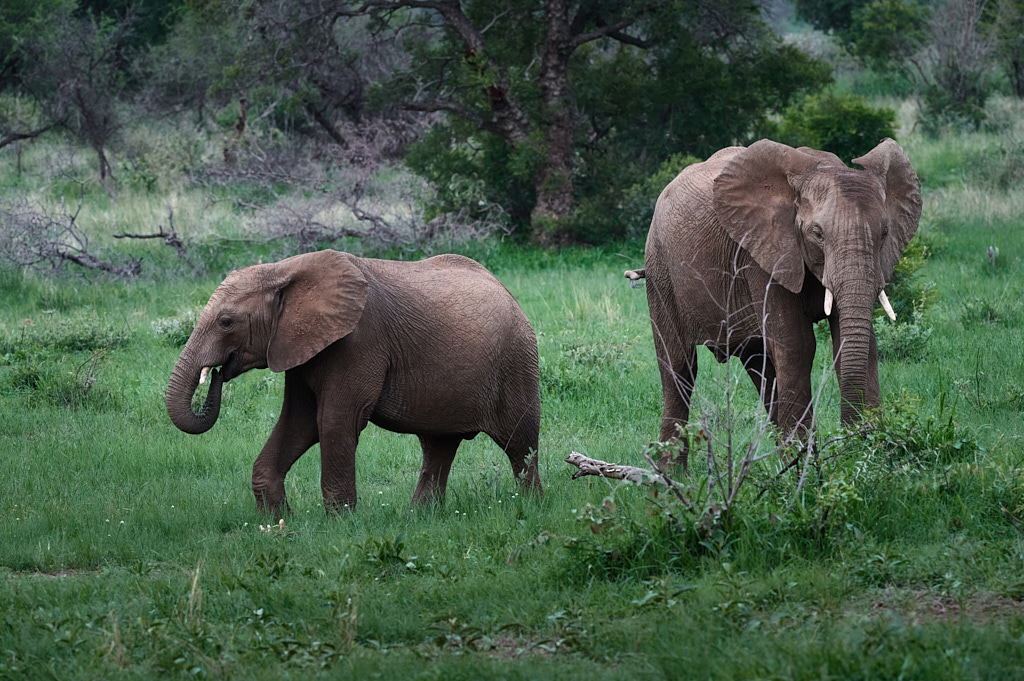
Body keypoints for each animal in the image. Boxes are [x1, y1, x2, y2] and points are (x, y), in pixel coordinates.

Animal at [165, 251, 544, 512]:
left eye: (226, 322)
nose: (217, 372)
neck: (285, 269)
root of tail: (511, 296)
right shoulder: (299, 347)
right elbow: (299, 422)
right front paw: (277, 522)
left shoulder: (359, 343)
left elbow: (334, 421)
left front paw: (341, 524)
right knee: (439, 445)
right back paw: (421, 517)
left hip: (517, 361)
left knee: (520, 443)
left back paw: (530, 507)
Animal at [626, 137, 925, 450]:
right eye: (817, 233)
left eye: (884, 233)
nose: (852, 436)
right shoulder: (760, 253)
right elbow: (797, 346)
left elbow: (858, 344)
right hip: (660, 270)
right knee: (680, 369)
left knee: (762, 369)